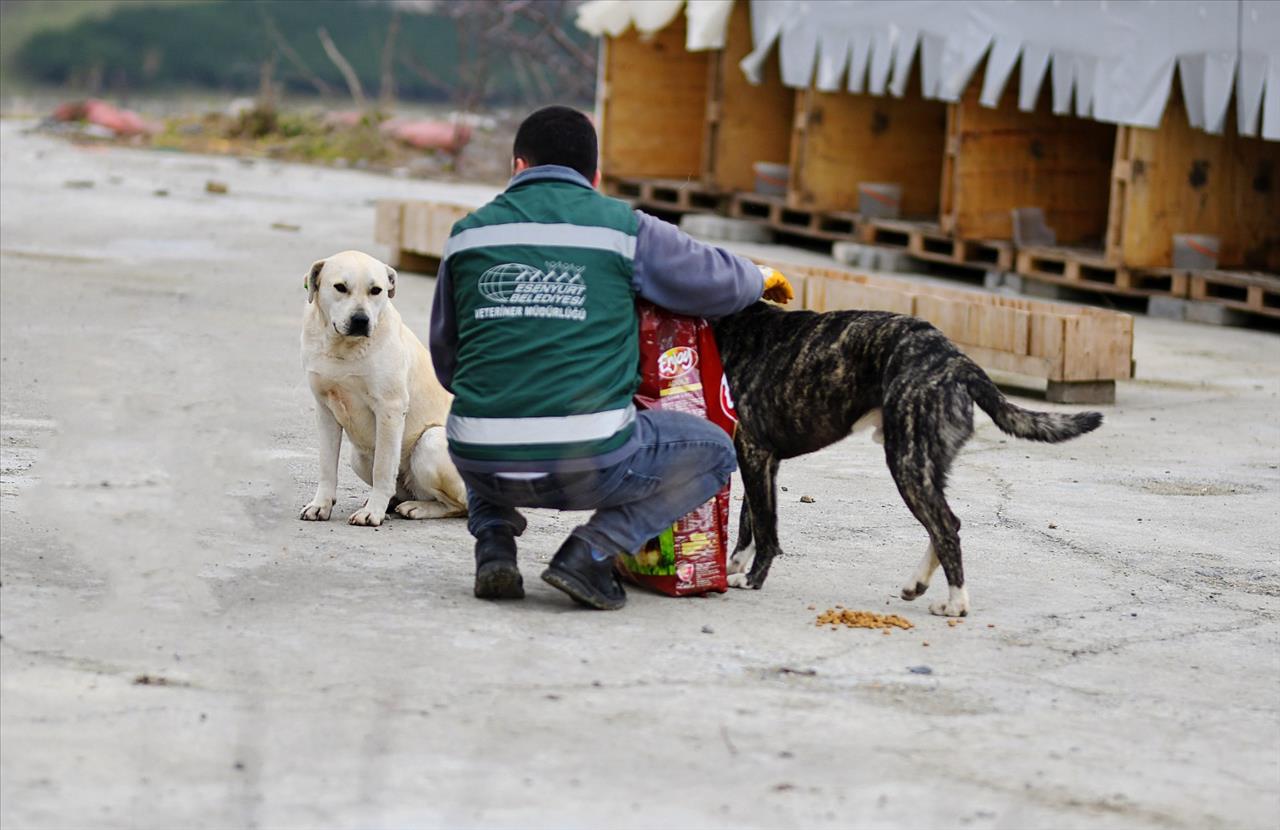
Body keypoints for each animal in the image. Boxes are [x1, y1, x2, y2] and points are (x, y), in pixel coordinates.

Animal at [298, 249, 465, 527]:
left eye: (376, 290)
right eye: (340, 287)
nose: (360, 320)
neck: (343, 348)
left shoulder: (389, 410)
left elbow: (384, 467)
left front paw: (372, 512)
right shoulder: (325, 411)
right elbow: (326, 465)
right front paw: (320, 505)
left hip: (430, 441)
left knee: (459, 505)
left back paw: (415, 507)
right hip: (357, 456)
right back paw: (395, 503)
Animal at [711, 303, 1100, 614]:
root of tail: (958, 362)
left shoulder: (754, 451)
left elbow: (765, 526)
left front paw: (753, 578)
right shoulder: (760, 460)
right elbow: (750, 520)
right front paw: (735, 565)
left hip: (906, 463)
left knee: (945, 526)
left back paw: (956, 604)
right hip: (923, 463)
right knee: (947, 524)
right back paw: (919, 584)